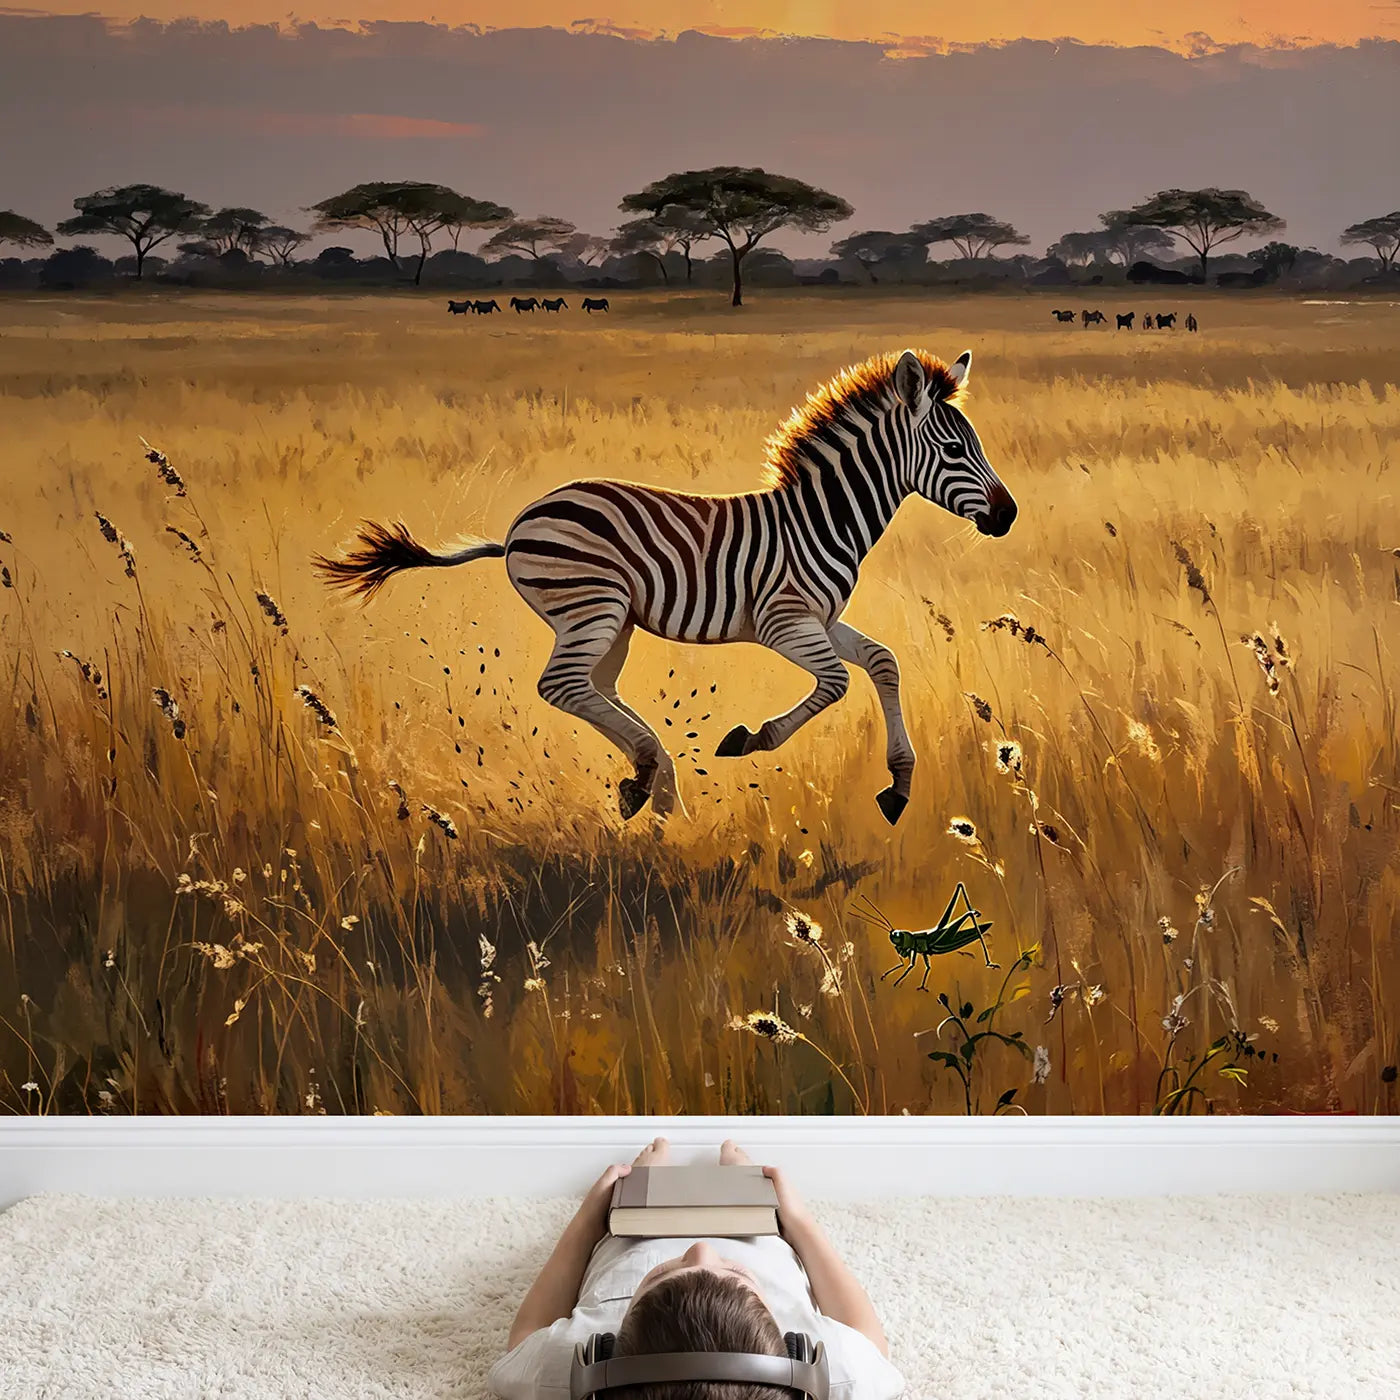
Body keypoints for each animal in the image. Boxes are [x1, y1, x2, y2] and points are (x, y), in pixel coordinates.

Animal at [314, 349, 1017, 826]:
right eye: (955, 450)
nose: (1008, 516)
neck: (822, 517)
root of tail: (518, 525)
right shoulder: (783, 621)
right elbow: (839, 683)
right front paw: (750, 738)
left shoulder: (820, 619)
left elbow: (883, 661)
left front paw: (899, 785)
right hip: (594, 606)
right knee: (563, 686)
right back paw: (654, 773)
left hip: (613, 618)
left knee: (596, 688)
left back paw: (652, 780)